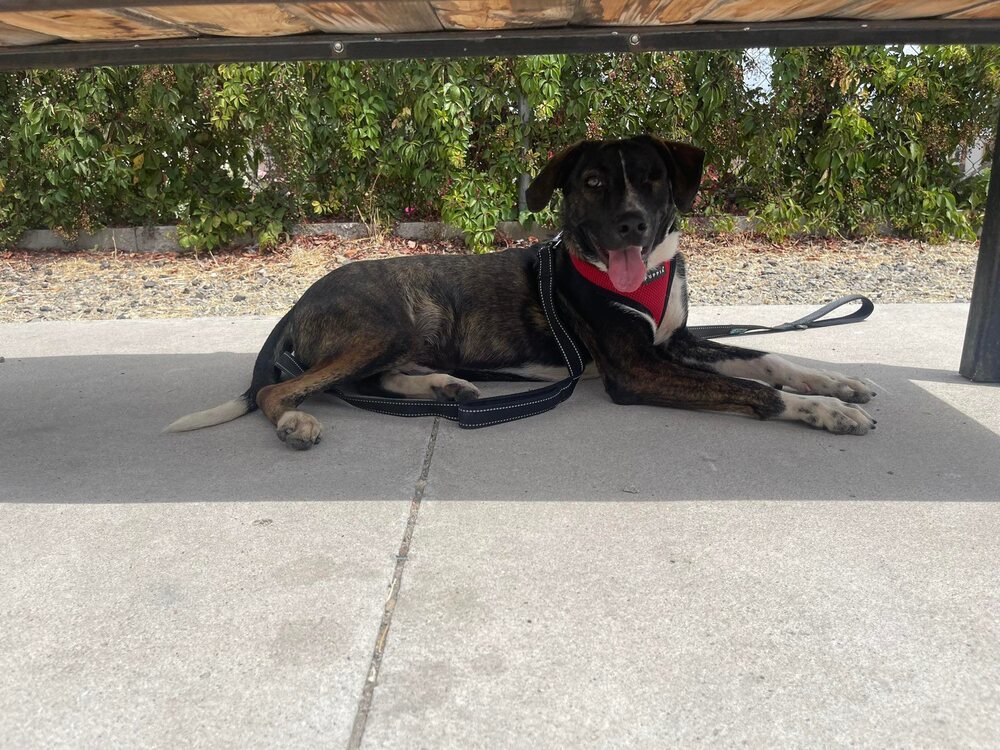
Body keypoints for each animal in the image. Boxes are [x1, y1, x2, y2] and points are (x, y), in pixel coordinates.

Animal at [168, 134, 880, 452]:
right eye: (592, 182)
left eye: (653, 178)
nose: (632, 223)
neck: (642, 274)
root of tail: (301, 298)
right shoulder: (636, 369)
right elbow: (755, 389)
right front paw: (826, 412)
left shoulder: (675, 343)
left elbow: (768, 359)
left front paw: (837, 384)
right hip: (386, 324)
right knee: (287, 389)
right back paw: (295, 420)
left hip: (410, 333)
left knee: (372, 379)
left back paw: (447, 387)